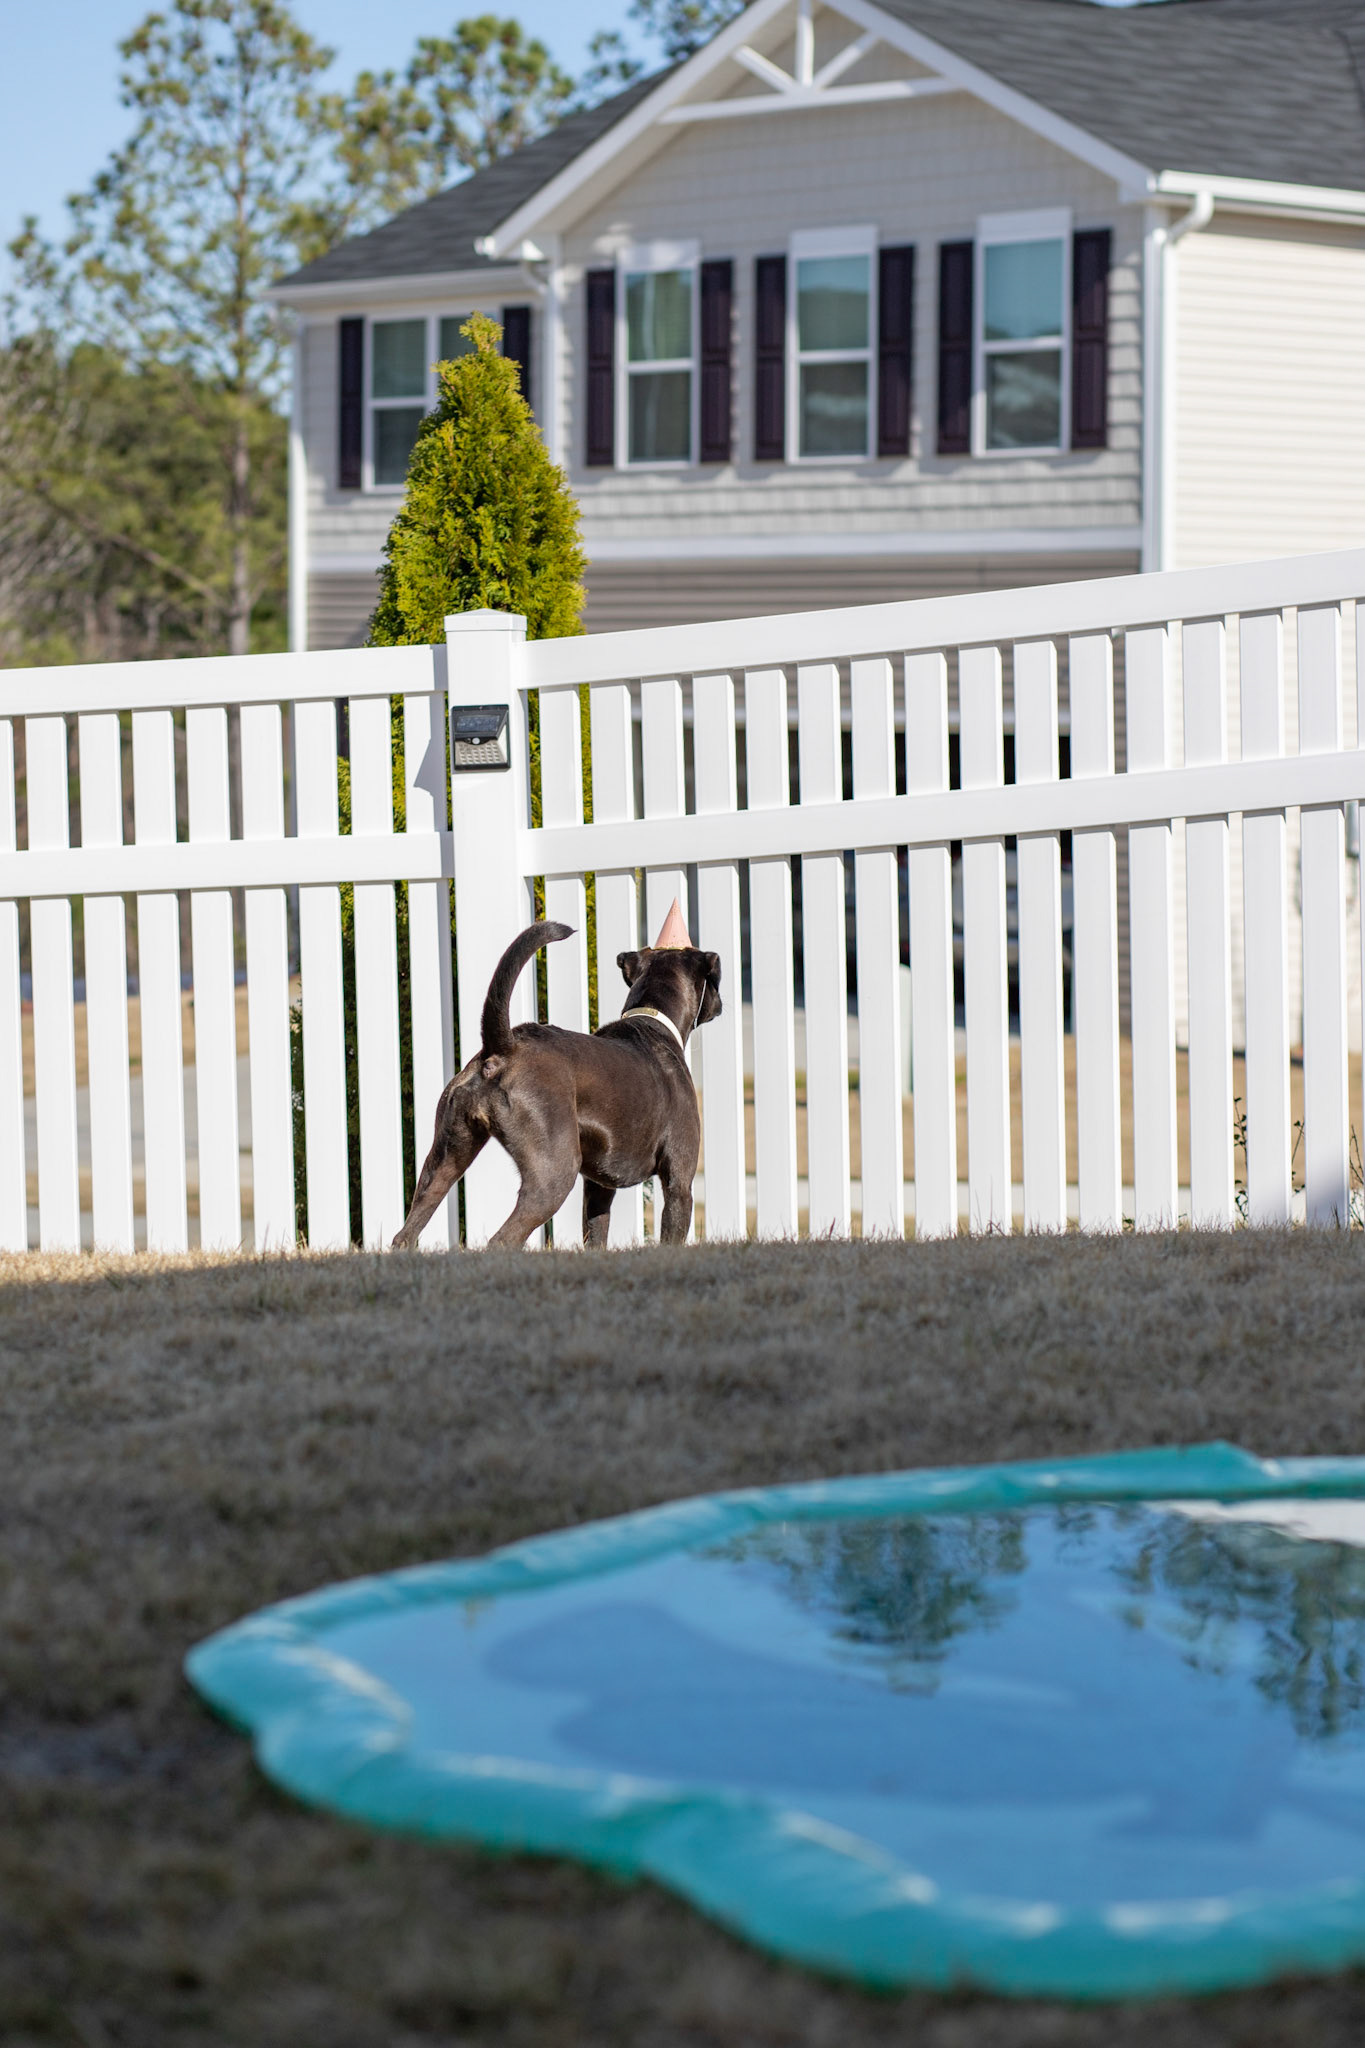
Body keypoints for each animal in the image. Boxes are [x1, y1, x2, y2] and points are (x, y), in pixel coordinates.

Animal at [392, 916, 722, 1250]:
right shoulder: (679, 1183)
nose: (720, 1005)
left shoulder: (598, 1189)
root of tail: (503, 1048)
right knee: (501, 1240)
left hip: (444, 1161)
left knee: (405, 1233)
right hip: (552, 1176)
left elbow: (596, 1236)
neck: (653, 1022)